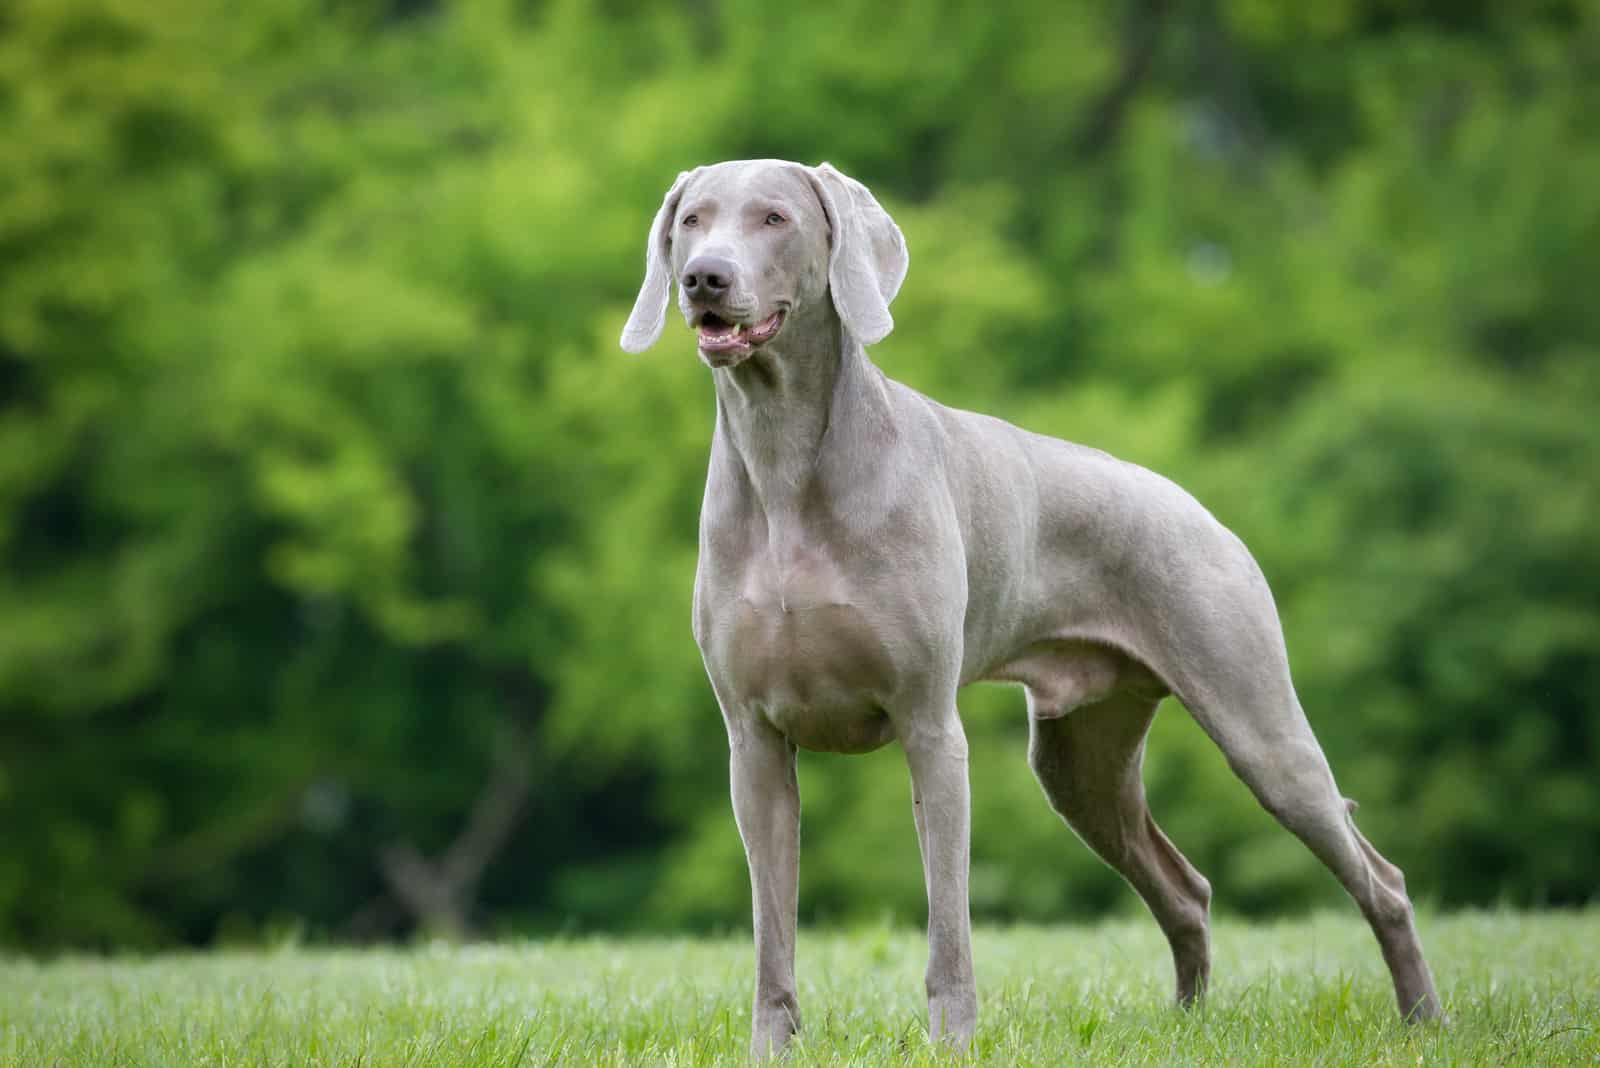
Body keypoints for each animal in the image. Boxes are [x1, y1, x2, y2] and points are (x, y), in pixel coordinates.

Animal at [617, 156, 1446, 1048]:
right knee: (1185, 888)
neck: (783, 460)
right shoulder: (755, 743)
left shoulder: (929, 727)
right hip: (1080, 760)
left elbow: (948, 921)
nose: (704, 277)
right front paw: (772, 1046)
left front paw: (951, 1044)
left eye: (774, 218)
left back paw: (1424, 1018)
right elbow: (773, 928)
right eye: (691, 221)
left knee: (1380, 878)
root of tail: (1200, 510)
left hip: (1259, 726)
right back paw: (1187, 1024)